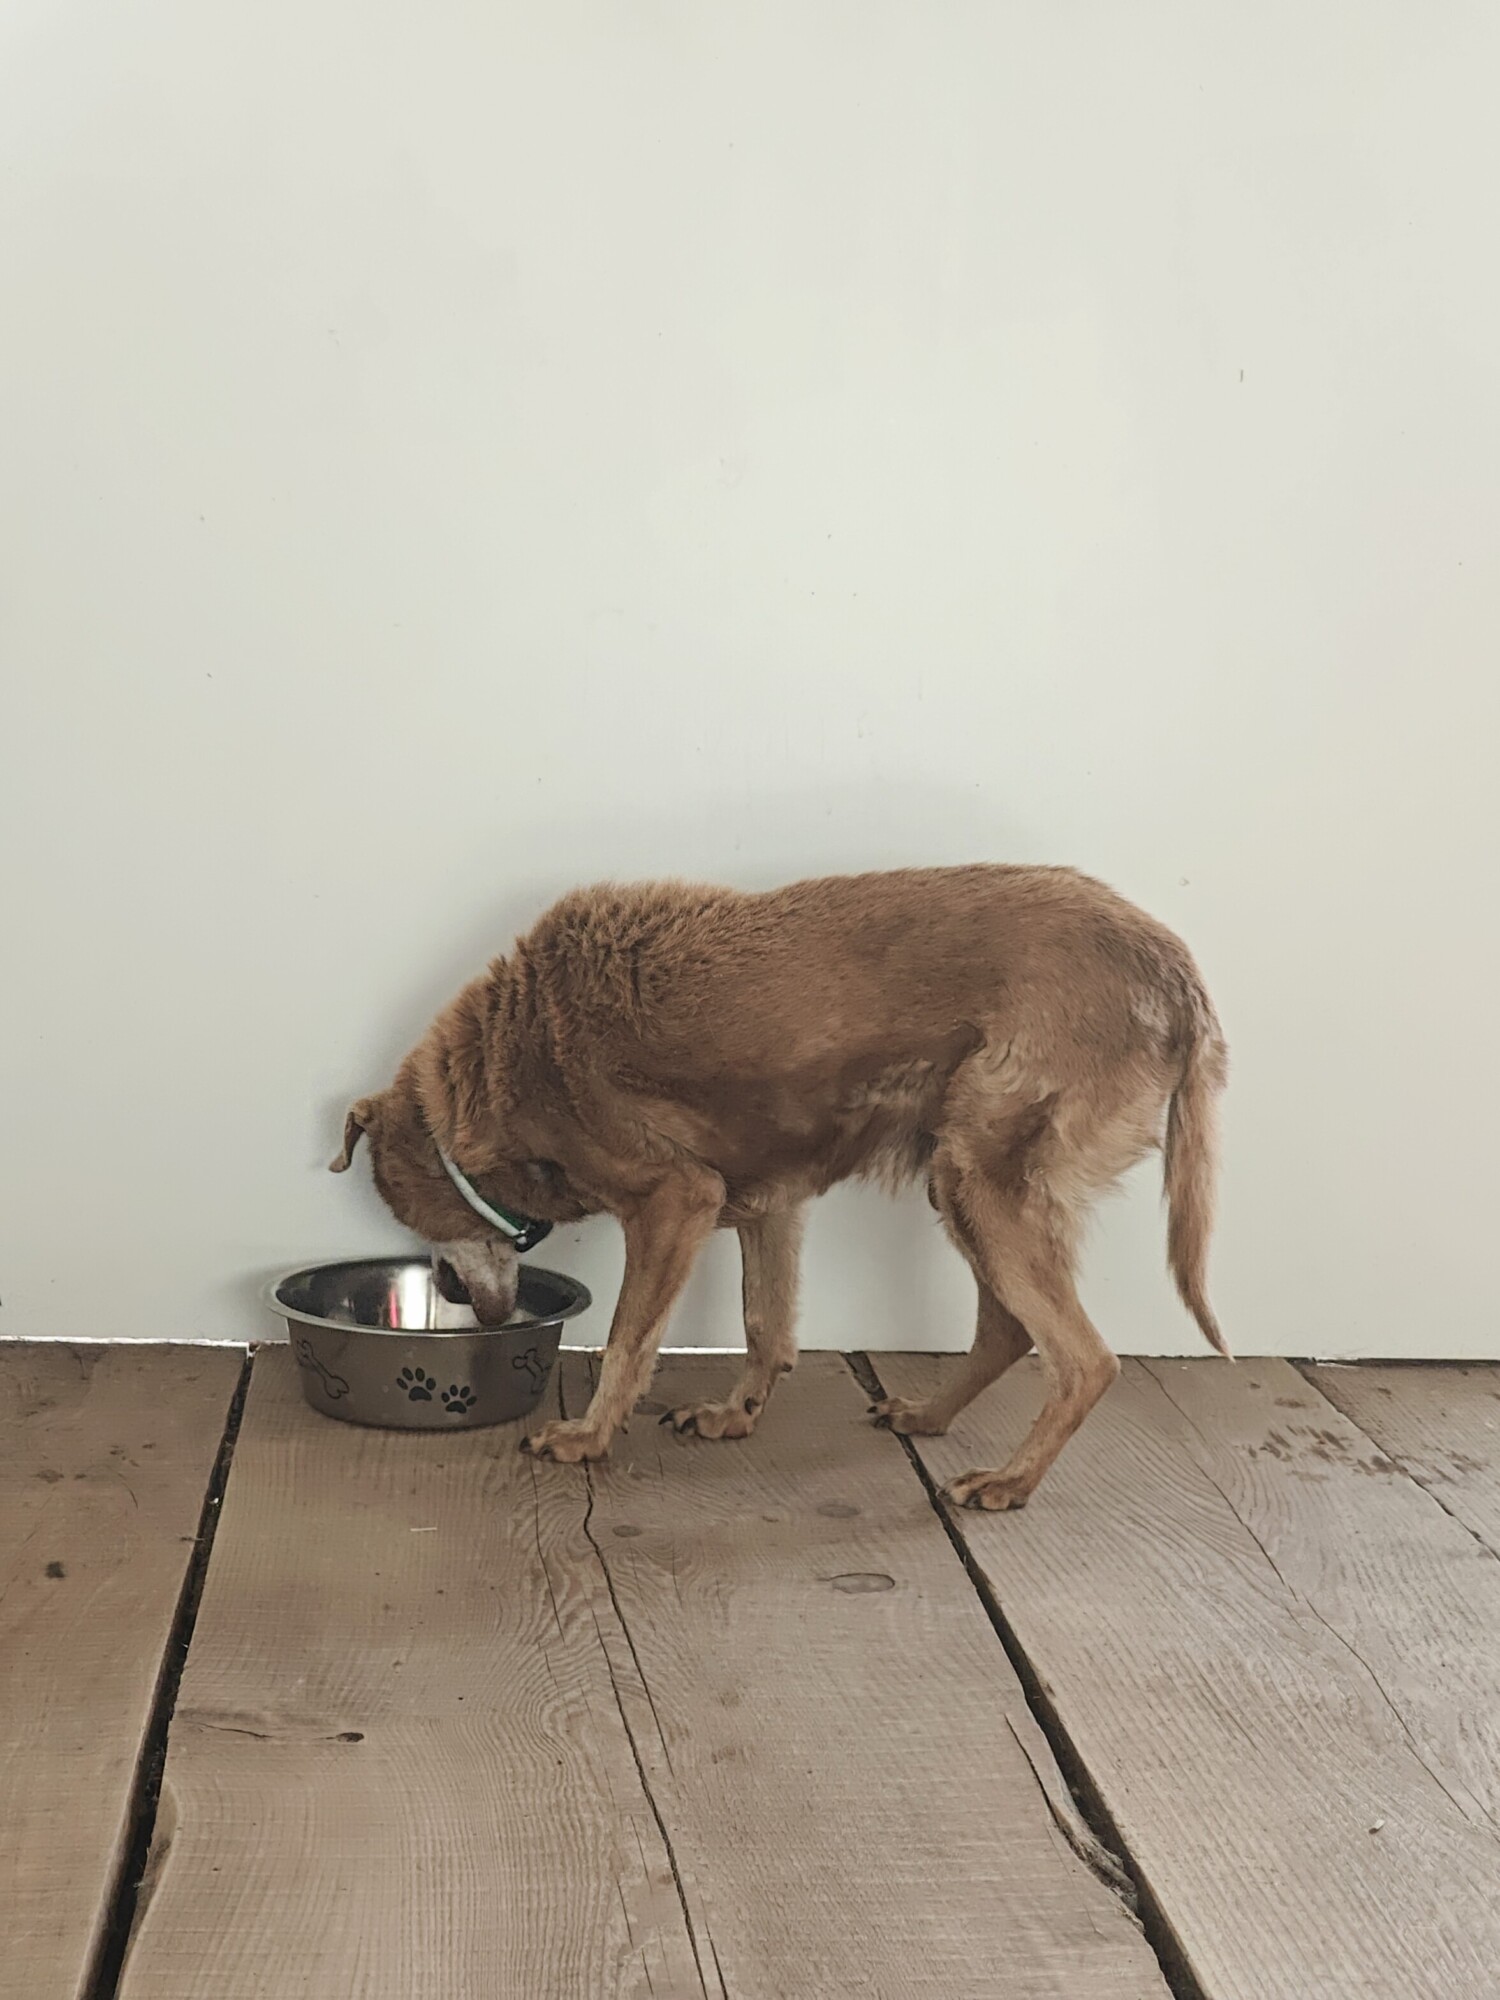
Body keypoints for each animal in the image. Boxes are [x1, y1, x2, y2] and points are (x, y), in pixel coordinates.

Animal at [332, 866, 1227, 1509]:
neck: (503, 1063)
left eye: (420, 1224)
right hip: (962, 1179)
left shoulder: (676, 1200)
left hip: (982, 1176)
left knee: (1086, 1359)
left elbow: (626, 1341)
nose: (463, 1302)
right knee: (1009, 1330)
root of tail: (1178, 974)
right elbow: (766, 1325)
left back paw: (1010, 1482)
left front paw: (586, 1436)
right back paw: (928, 1416)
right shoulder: (771, 1204)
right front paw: (734, 1415)